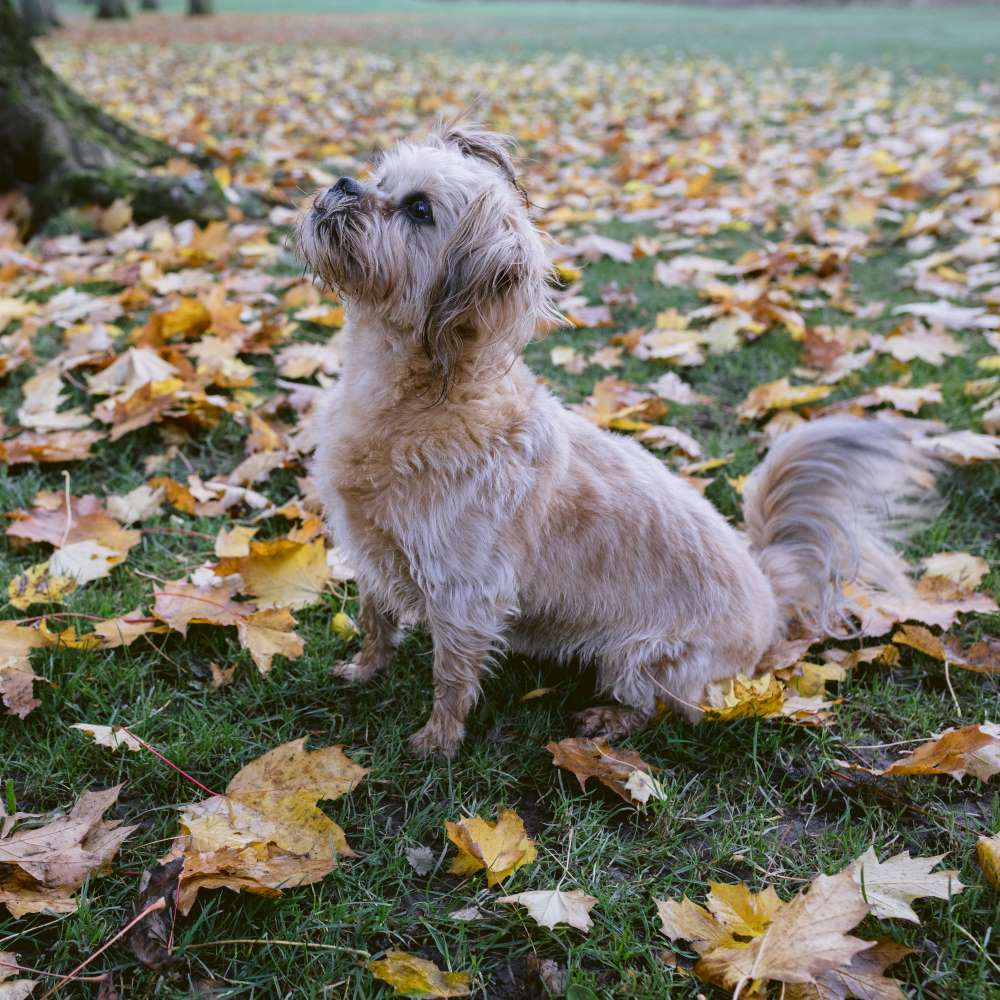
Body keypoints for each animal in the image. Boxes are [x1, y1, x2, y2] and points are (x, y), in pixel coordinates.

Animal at [296, 121, 936, 752]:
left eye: (419, 209)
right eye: (381, 178)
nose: (345, 183)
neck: (415, 394)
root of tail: (769, 596)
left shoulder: (465, 592)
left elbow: (451, 675)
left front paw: (438, 741)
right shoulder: (370, 550)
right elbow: (375, 619)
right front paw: (364, 669)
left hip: (642, 656)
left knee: (667, 709)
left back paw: (608, 720)